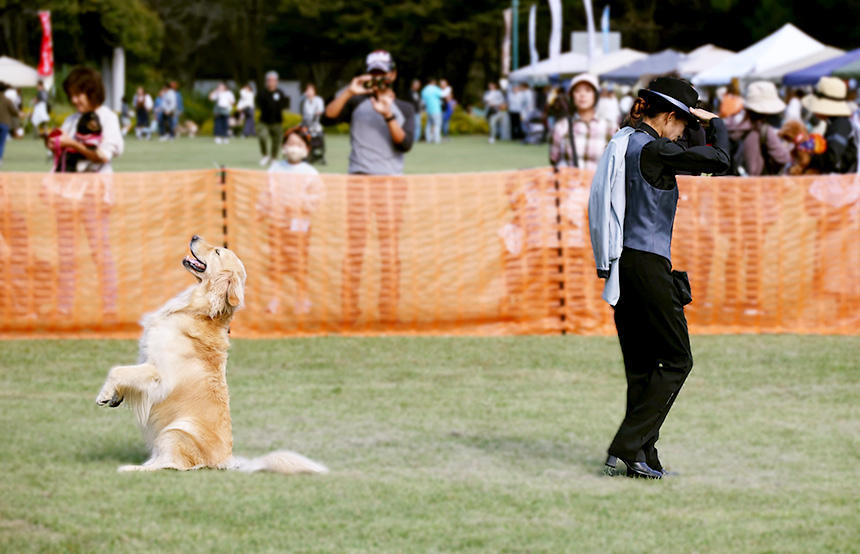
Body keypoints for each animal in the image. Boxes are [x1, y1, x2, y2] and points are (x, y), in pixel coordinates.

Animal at [95, 235, 328, 472]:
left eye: (217, 252)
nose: (194, 236)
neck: (201, 309)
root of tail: (227, 460)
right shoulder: (145, 359)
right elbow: (126, 374)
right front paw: (115, 396)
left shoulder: (158, 374)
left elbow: (117, 370)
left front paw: (104, 395)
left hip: (173, 432)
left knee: (172, 465)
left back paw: (132, 468)